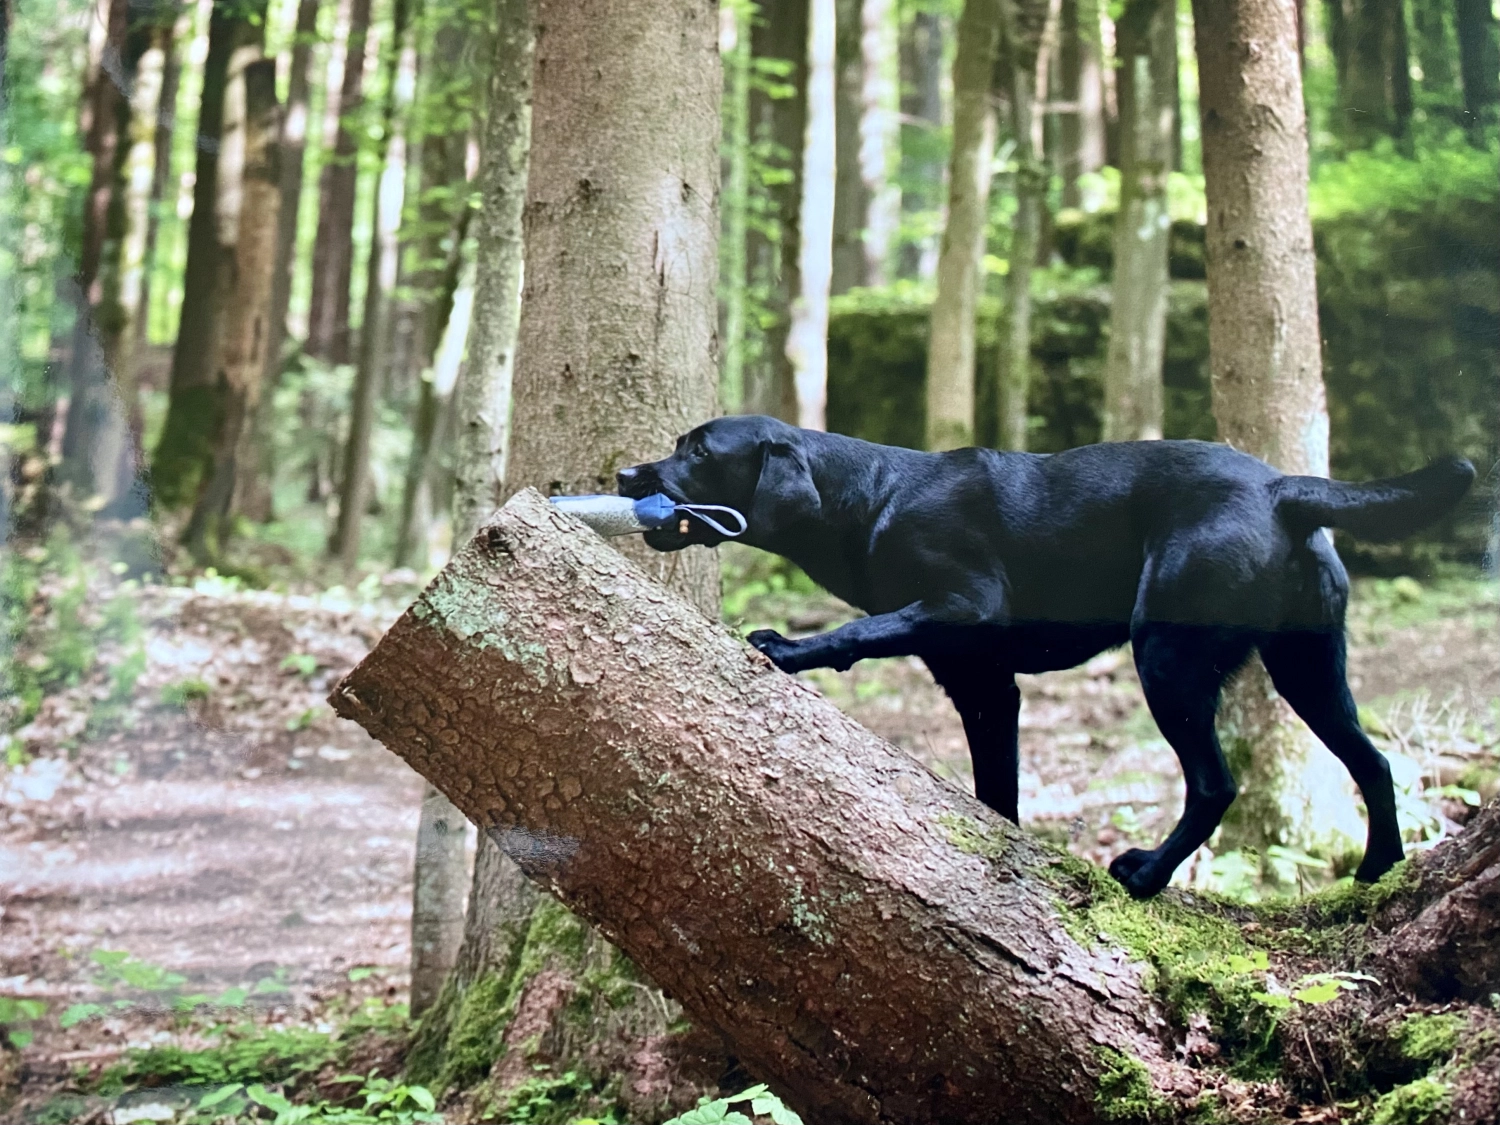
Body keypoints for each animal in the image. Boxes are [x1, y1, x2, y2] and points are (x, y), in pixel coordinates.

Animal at [618, 420, 1476, 906]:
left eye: (697, 450)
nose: (625, 474)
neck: (873, 495)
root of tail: (1281, 490)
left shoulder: (968, 605)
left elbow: (859, 629)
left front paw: (790, 649)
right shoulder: (984, 688)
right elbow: (998, 793)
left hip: (1166, 656)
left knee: (1215, 783)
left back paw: (1148, 874)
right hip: (1308, 666)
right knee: (1373, 762)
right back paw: (1378, 869)